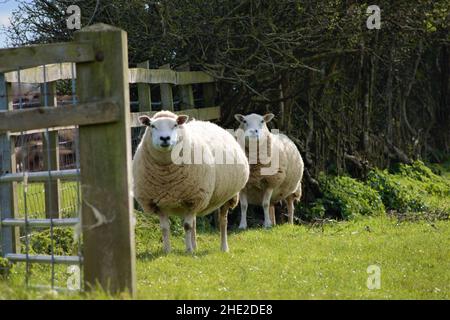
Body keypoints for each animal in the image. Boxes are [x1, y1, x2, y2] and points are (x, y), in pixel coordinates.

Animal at [132, 110, 250, 252]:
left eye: (175, 125)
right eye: (152, 125)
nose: (165, 138)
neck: (166, 177)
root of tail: (209, 123)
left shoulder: (194, 199)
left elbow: (186, 226)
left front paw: (188, 250)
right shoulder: (158, 203)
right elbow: (165, 228)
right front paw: (167, 251)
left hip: (227, 197)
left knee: (222, 221)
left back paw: (223, 247)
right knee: (194, 222)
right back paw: (195, 246)